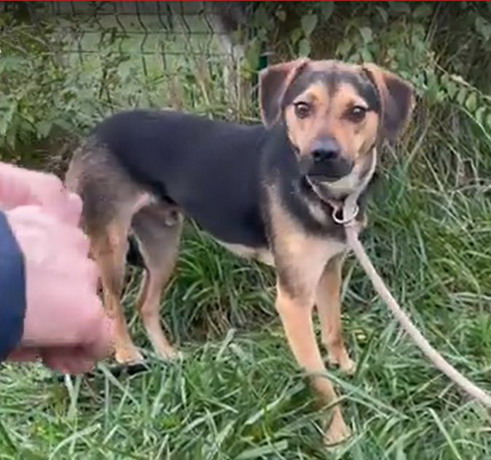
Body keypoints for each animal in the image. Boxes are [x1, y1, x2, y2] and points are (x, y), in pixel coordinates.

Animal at [65, 58, 414, 444]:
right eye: (302, 108)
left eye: (356, 112)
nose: (323, 154)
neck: (326, 196)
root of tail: (95, 131)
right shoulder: (293, 300)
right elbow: (319, 377)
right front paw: (338, 433)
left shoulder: (329, 268)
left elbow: (334, 330)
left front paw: (349, 370)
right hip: (111, 245)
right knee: (113, 303)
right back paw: (127, 355)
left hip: (163, 246)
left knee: (145, 304)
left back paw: (169, 356)